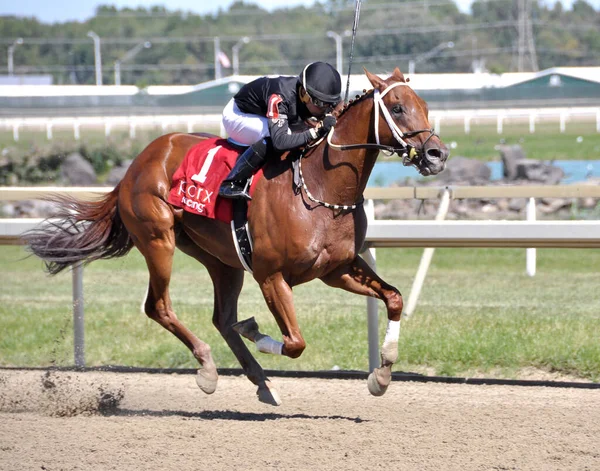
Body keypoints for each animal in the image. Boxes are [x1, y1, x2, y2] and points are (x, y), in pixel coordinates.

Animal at [25, 68, 448, 408]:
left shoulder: (337, 268)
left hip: (220, 259)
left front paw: (382, 375)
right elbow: (295, 342)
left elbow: (394, 298)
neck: (321, 188)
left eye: (425, 104)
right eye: (397, 108)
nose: (437, 153)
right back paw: (208, 367)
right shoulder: (271, 276)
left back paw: (263, 383)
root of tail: (135, 165)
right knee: (159, 307)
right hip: (158, 240)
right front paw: (256, 331)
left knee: (222, 318)